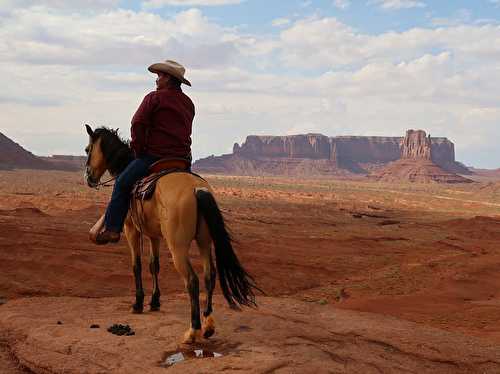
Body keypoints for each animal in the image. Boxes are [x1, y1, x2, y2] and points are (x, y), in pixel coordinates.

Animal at [83, 125, 260, 344]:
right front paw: (155, 301)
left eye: (87, 149)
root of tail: (197, 189)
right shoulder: (154, 235)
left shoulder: (131, 229)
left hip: (178, 247)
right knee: (209, 276)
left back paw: (193, 331)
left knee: (192, 281)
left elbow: (136, 265)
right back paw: (208, 325)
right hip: (204, 241)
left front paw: (138, 303)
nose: (88, 178)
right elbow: (154, 265)